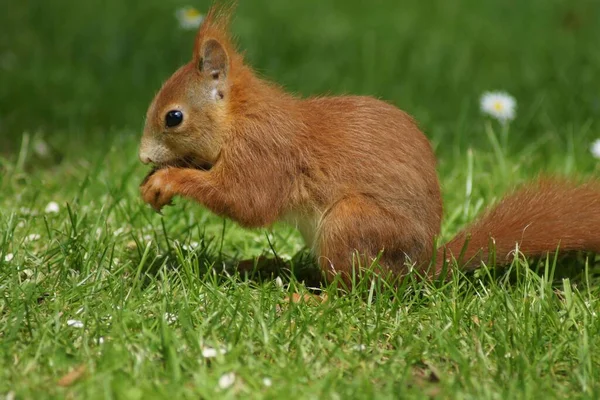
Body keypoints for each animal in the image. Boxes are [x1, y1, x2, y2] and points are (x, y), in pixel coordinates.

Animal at [138, 7, 600, 286]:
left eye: (173, 117)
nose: (142, 156)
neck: (239, 117)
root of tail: (420, 270)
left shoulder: (265, 153)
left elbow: (248, 202)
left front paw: (168, 179)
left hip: (352, 224)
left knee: (355, 289)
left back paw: (305, 296)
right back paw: (269, 265)